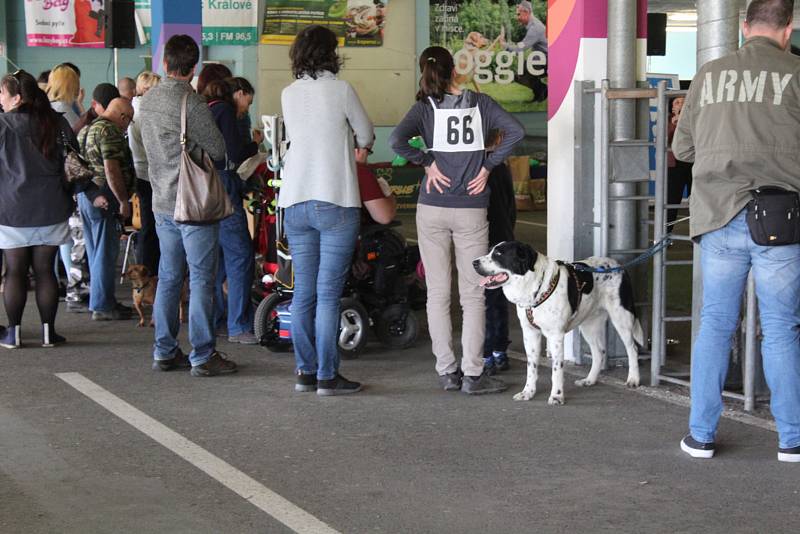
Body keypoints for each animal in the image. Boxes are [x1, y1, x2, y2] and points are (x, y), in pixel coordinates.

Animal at [476, 243, 644, 406]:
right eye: (490, 250)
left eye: (499, 254)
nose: (474, 263)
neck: (535, 289)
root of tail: (618, 266)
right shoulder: (530, 334)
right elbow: (531, 367)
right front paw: (528, 392)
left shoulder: (555, 335)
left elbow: (556, 370)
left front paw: (557, 396)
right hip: (588, 324)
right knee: (599, 352)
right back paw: (589, 380)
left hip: (621, 317)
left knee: (633, 349)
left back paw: (633, 379)